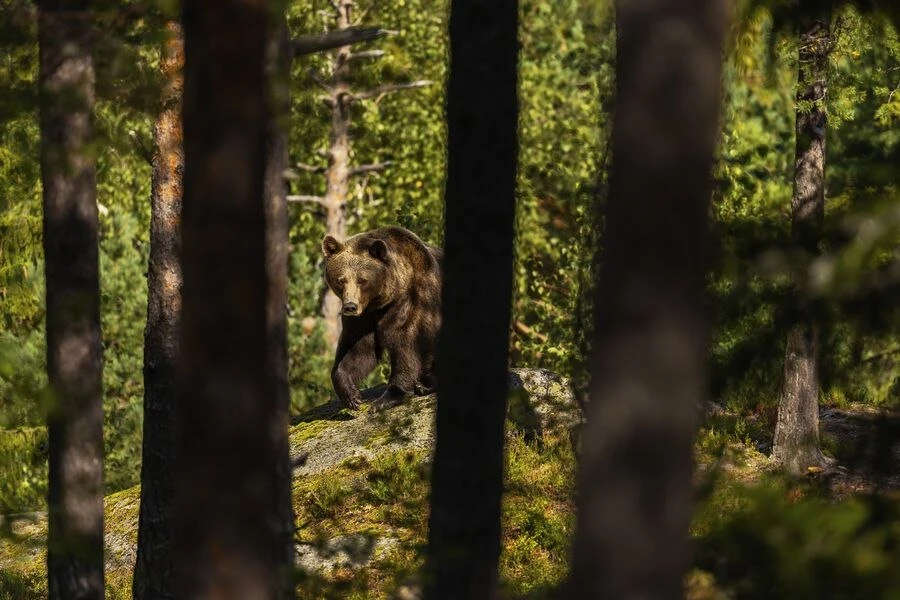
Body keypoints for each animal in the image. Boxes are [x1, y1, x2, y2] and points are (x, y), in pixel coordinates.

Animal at [322, 226, 443, 410]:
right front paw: (352, 396)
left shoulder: (413, 302)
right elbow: (359, 349)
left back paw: (424, 384)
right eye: (341, 280)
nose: (350, 306)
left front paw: (387, 397)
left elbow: (406, 345)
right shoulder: (364, 318)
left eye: (362, 280)